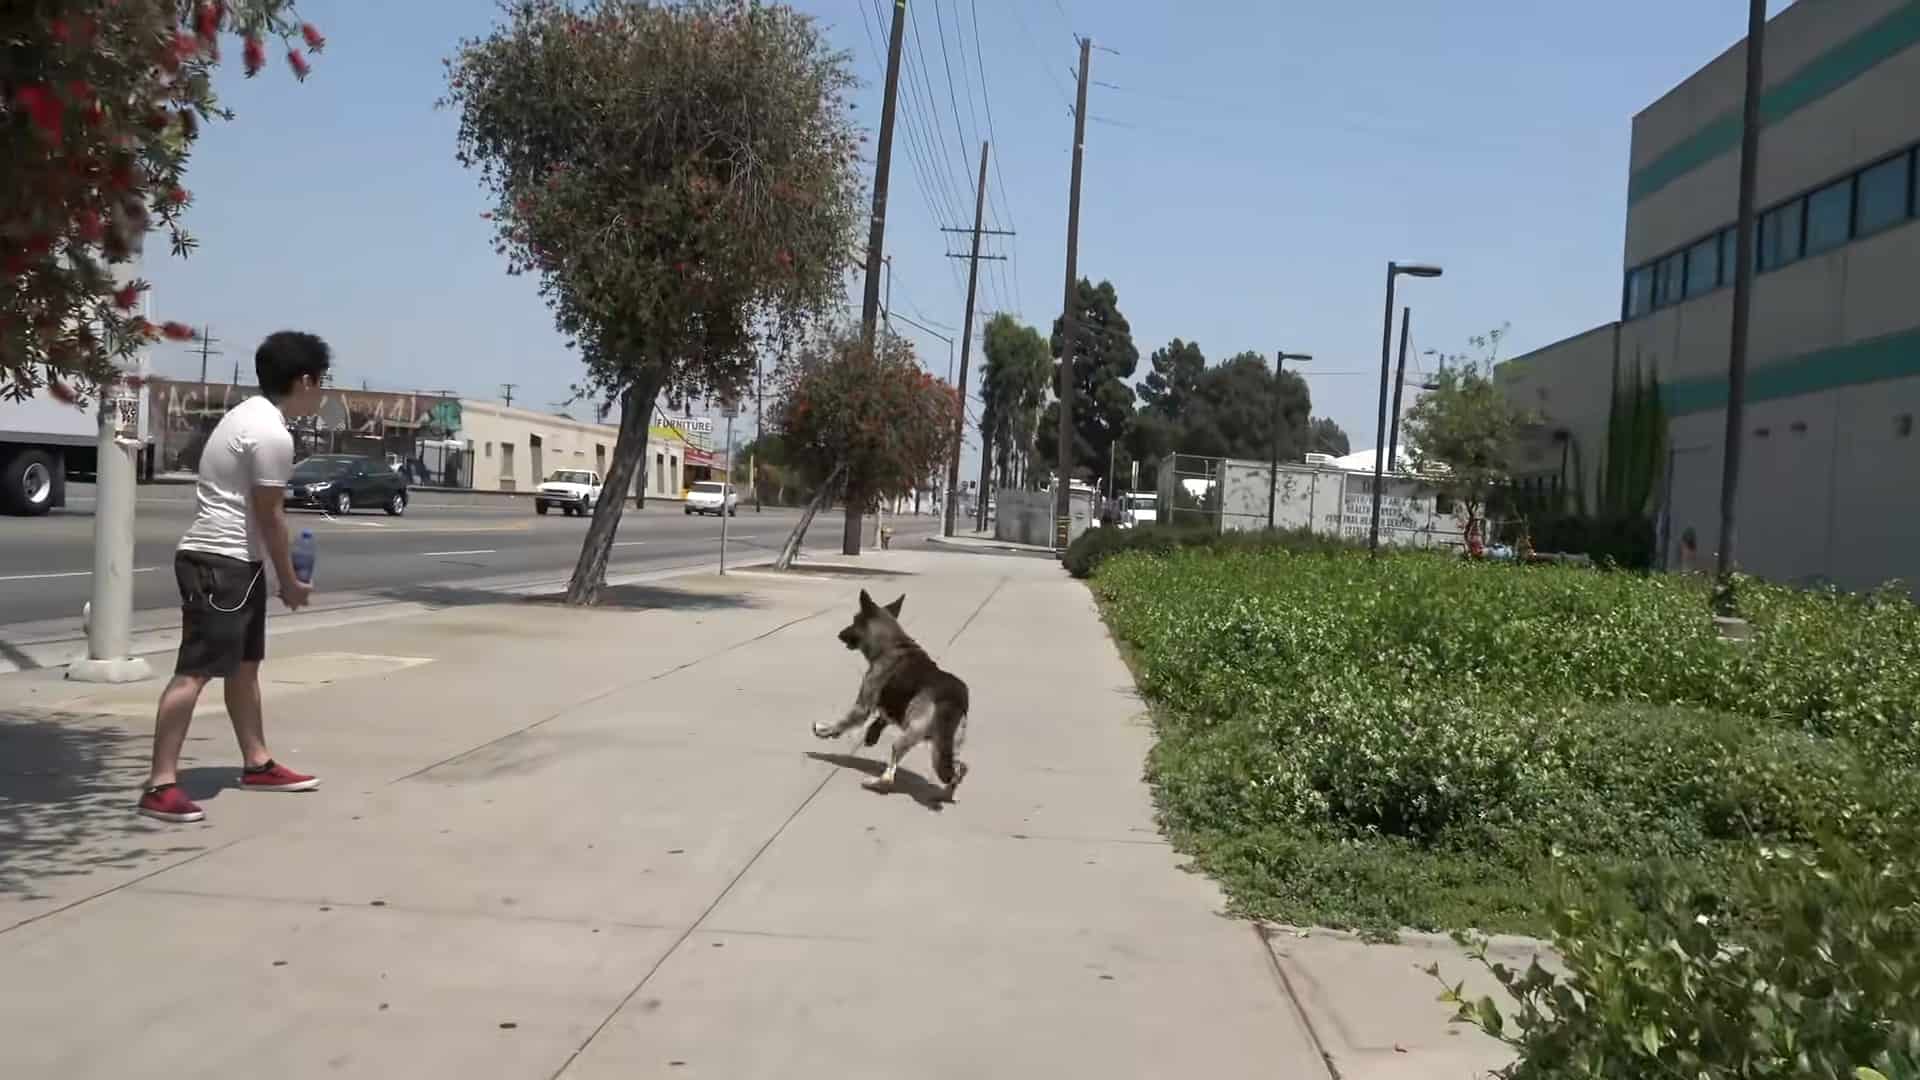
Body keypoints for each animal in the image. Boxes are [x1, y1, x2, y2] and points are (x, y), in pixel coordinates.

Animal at [810, 584, 967, 795]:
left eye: (854, 621)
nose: (839, 634)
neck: (892, 644)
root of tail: (952, 697)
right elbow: (882, 717)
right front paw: (872, 733)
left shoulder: (864, 703)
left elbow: (844, 721)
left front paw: (826, 730)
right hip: (945, 746)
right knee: (958, 769)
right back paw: (947, 791)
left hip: (910, 736)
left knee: (891, 775)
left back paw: (876, 782)